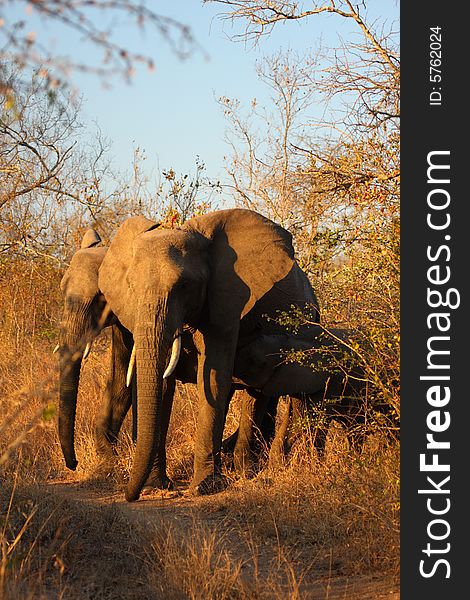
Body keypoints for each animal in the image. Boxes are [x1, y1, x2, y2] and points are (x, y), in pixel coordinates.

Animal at [98, 209, 320, 500]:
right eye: (130, 286)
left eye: (184, 285)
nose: (129, 495)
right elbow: (164, 384)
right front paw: (155, 486)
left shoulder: (227, 300)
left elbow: (214, 375)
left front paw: (203, 487)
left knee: (260, 393)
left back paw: (247, 471)